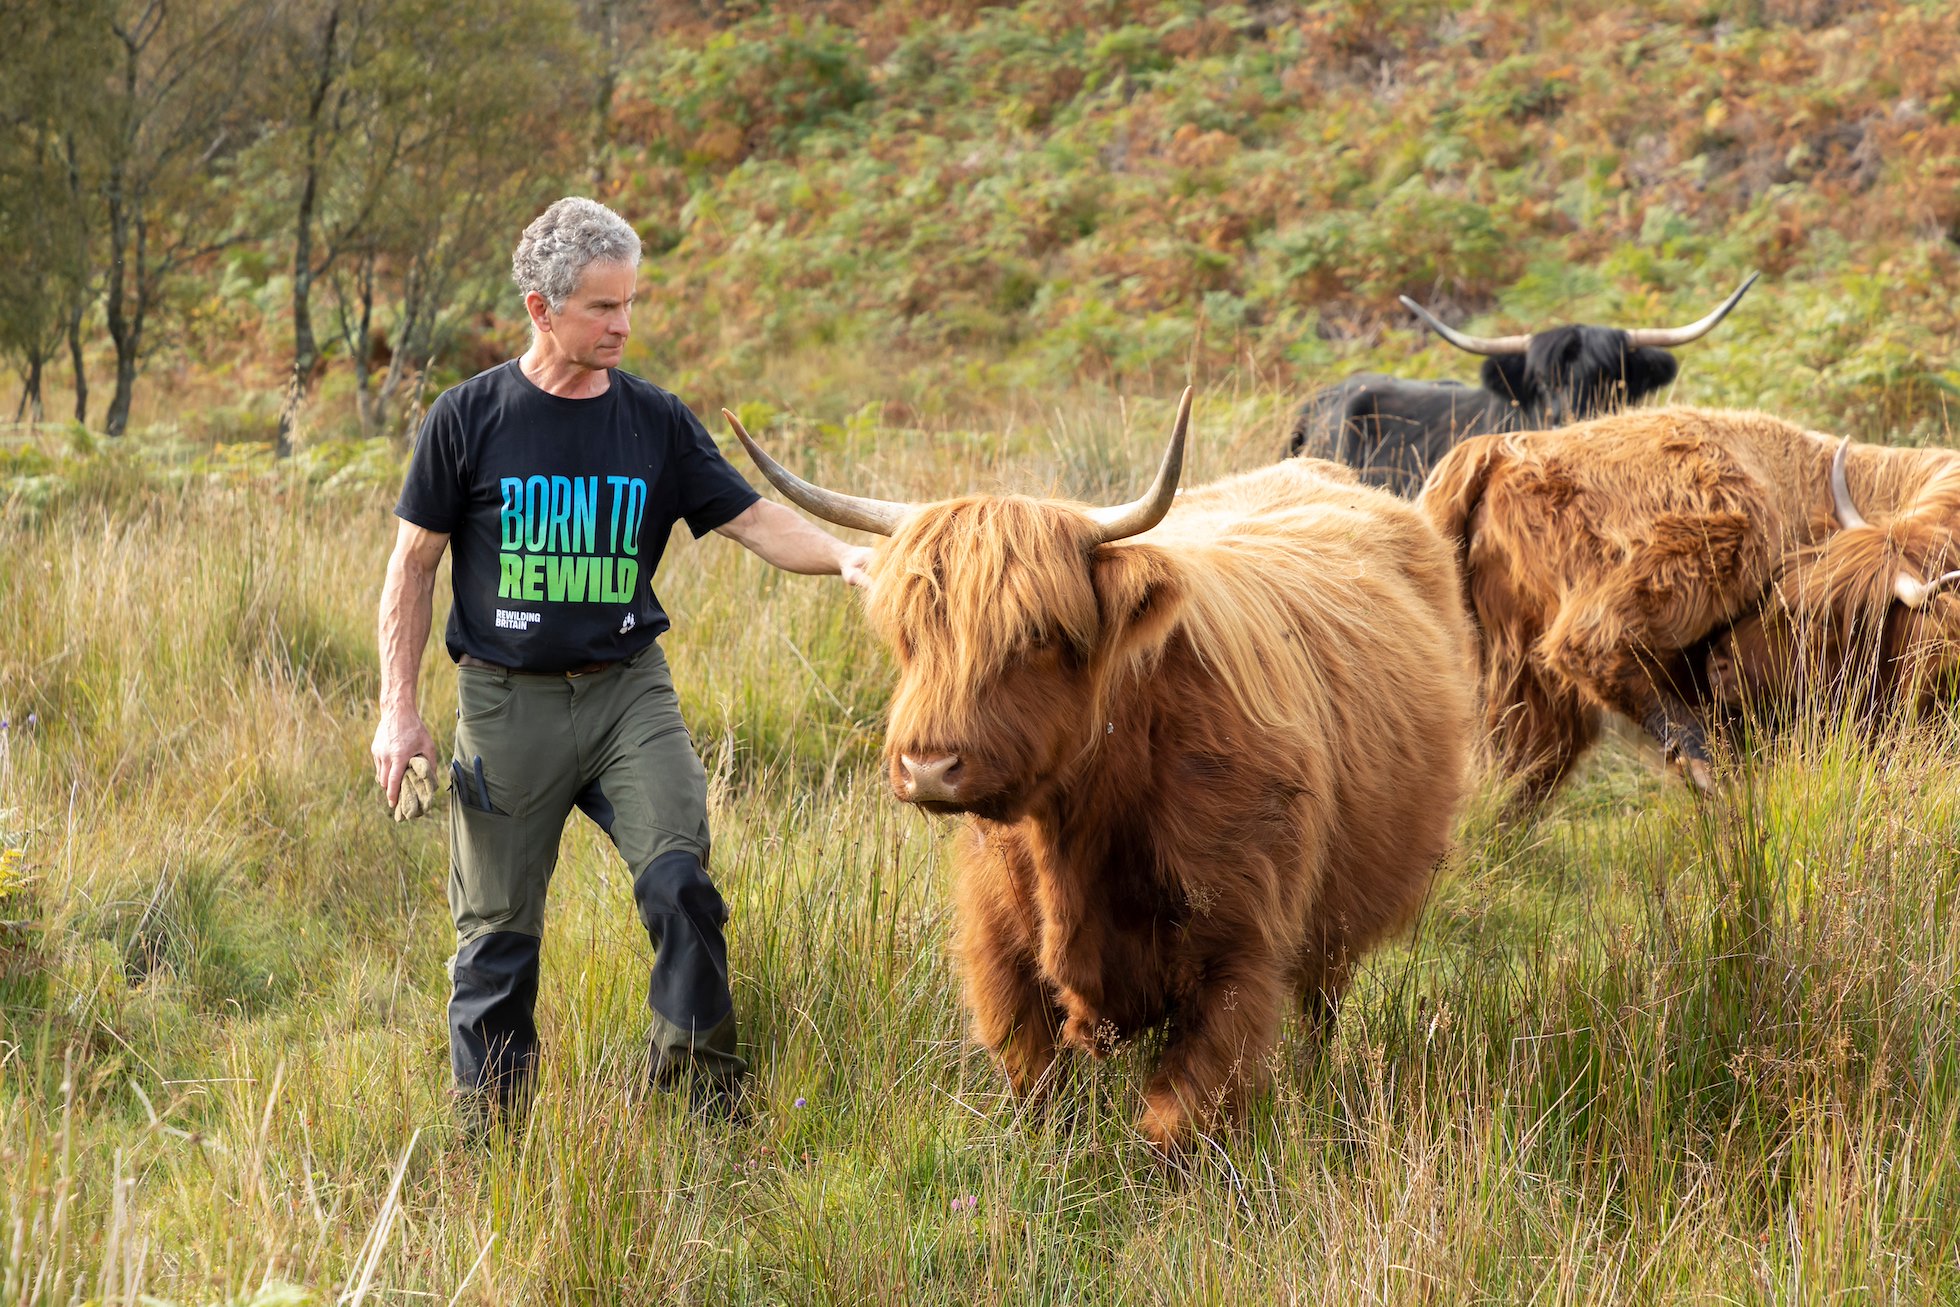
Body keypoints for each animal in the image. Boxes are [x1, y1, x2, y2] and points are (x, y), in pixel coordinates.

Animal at [721, 393, 1473, 1152]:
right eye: (910, 634)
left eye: (1039, 636)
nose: (928, 765)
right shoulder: (1001, 954)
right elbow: (1039, 1089)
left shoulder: (1239, 955)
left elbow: (1177, 1119)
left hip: (1335, 920)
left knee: (1322, 1007)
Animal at [1419, 405, 1960, 807]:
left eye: (1830, 624)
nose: (1718, 664)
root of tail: (1505, 446)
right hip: (1722, 526)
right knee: (1592, 645)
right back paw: (1707, 762)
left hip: (1513, 672)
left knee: (1516, 766)